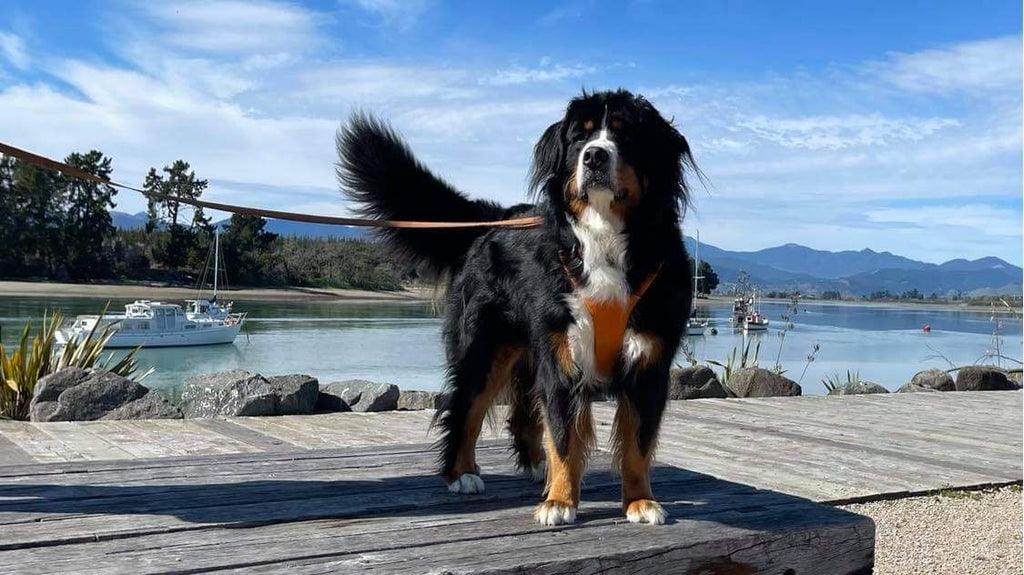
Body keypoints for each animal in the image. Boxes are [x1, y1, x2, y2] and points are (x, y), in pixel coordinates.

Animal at [339, 88, 700, 523]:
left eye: (625, 135)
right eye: (580, 138)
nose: (595, 157)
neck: (605, 238)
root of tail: (494, 217)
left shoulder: (647, 362)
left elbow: (637, 445)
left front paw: (639, 501)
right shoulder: (563, 356)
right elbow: (563, 435)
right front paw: (560, 501)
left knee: (523, 415)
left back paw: (536, 467)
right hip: (485, 348)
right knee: (466, 410)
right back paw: (462, 474)